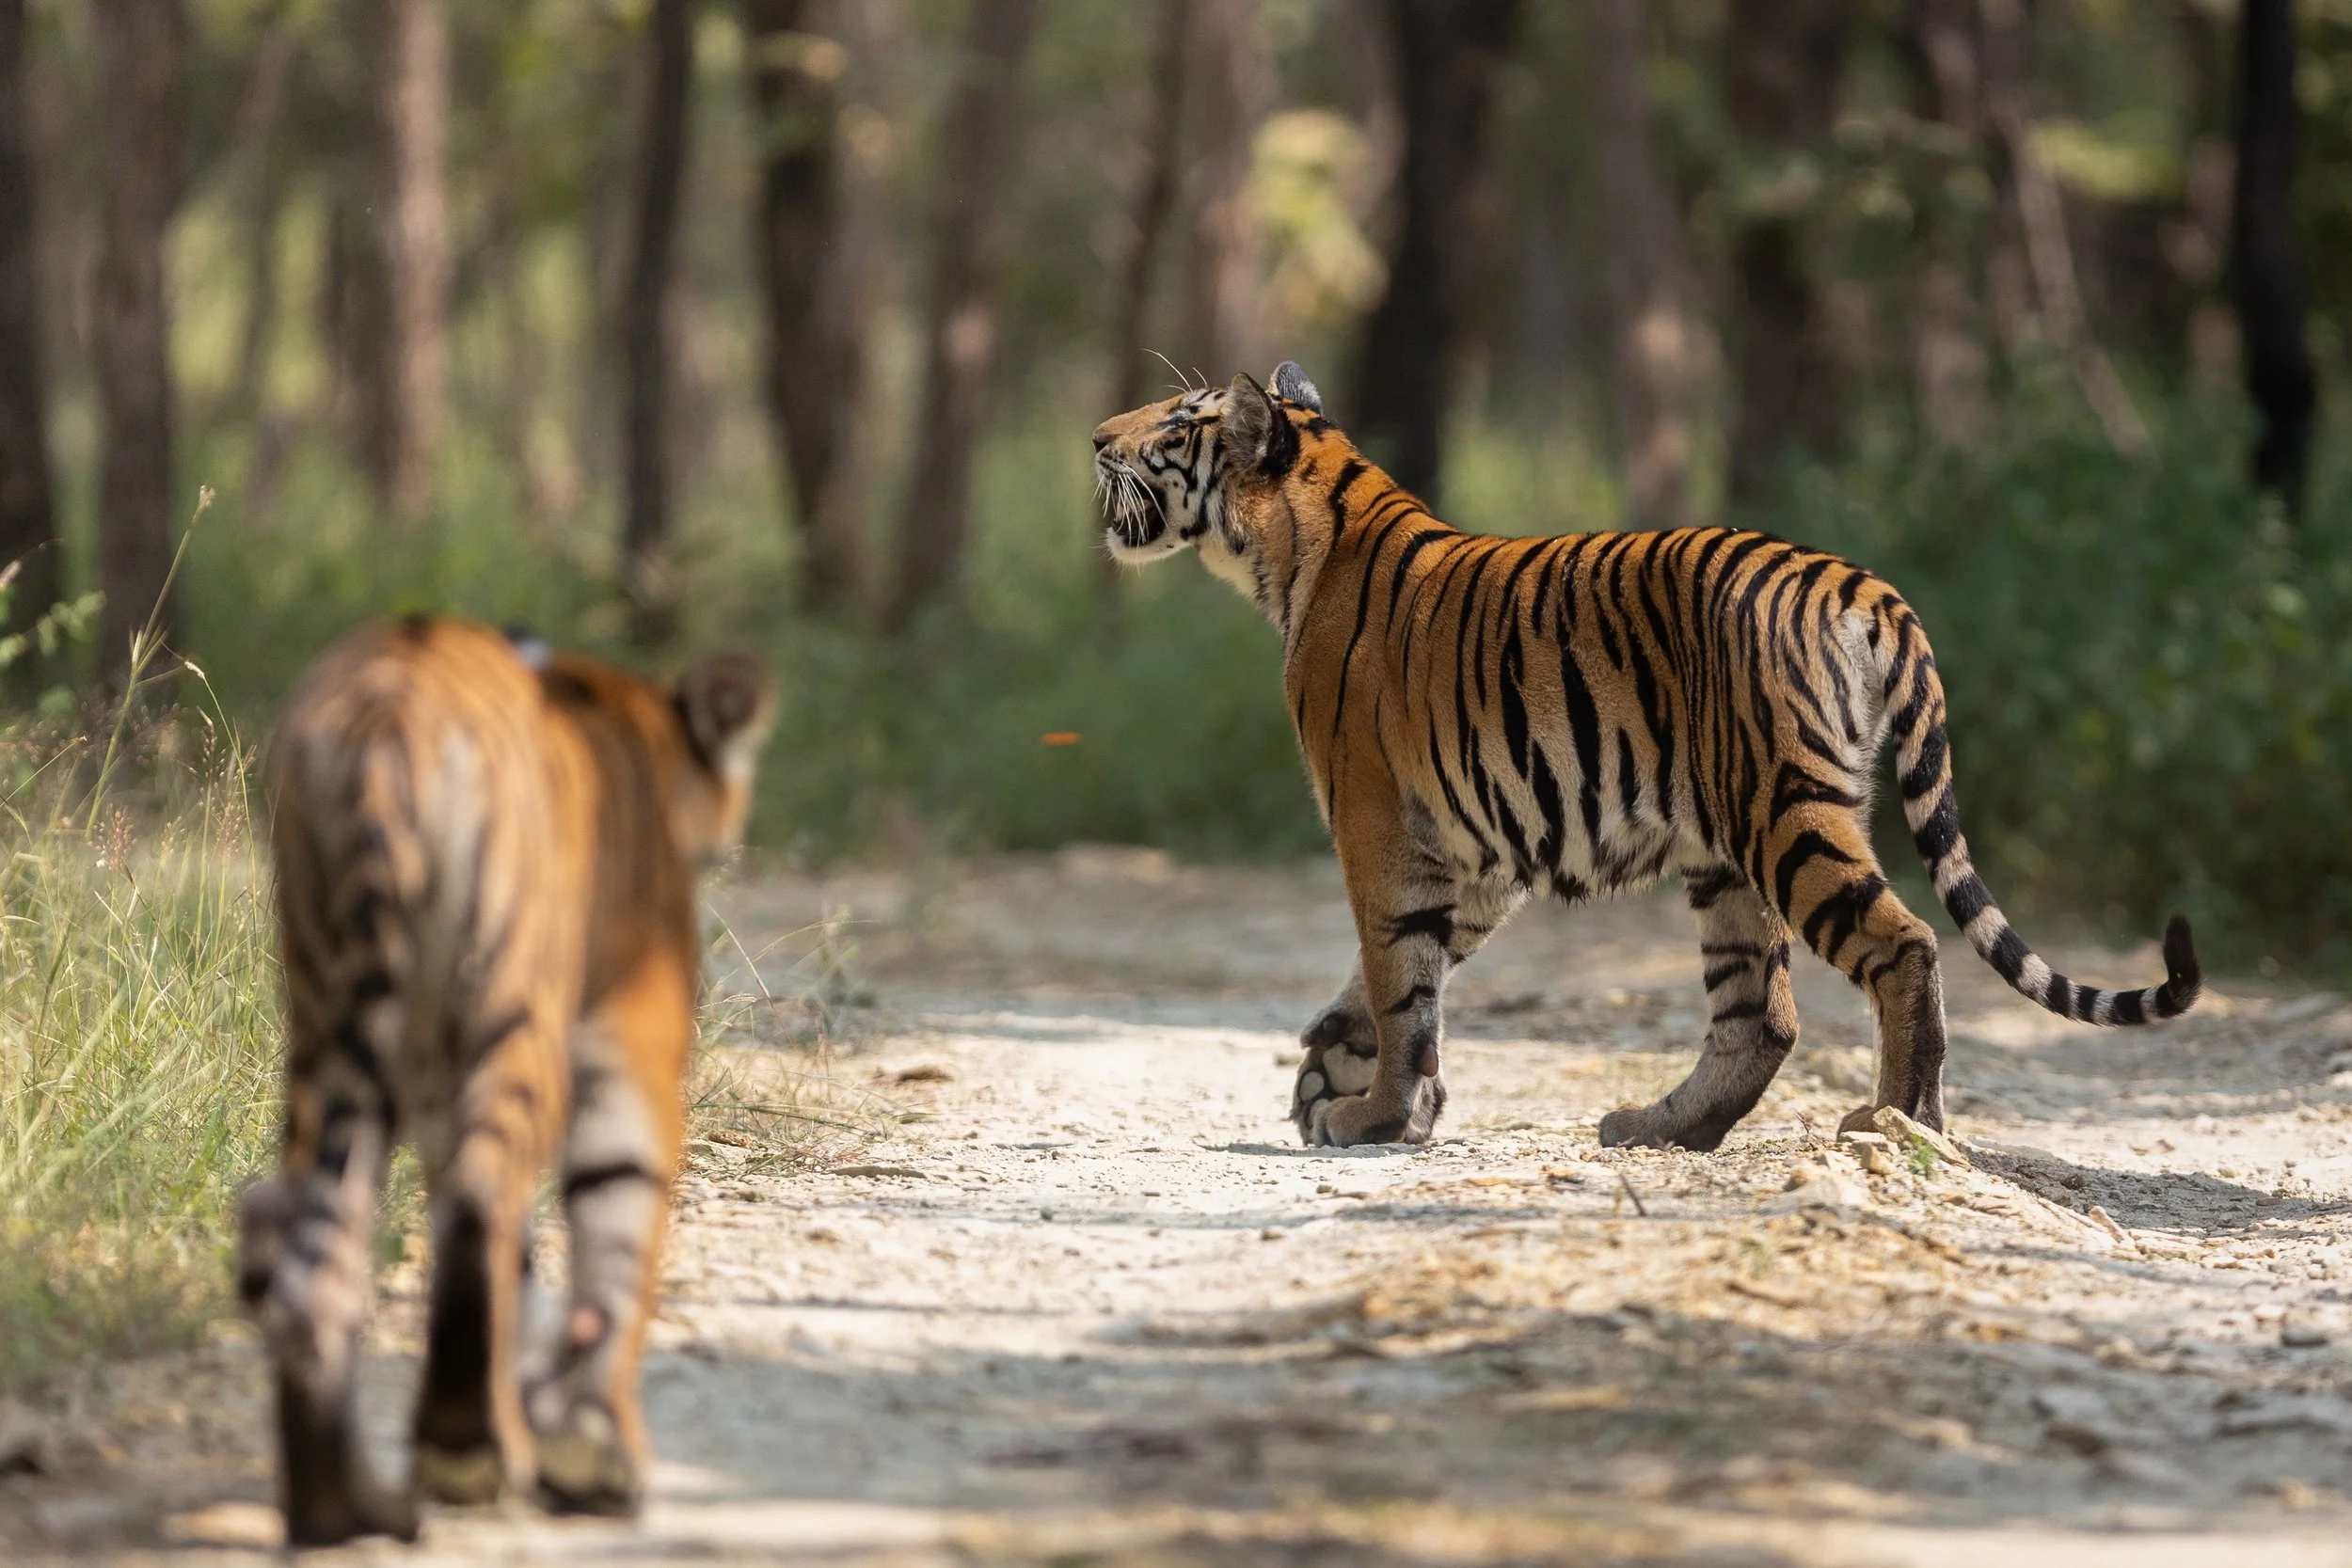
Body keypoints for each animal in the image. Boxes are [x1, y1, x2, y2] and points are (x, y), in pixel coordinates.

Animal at [235, 617, 773, 1544]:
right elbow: (618, 1232)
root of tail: (386, 705)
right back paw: (465, 1452)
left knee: (318, 1255)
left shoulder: (428, 1077)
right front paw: (595, 1448)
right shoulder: (631, 1038)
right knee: (481, 1204)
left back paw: (343, 1506)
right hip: (514, 1007)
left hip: (326, 1021)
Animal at [1091, 362, 2200, 1150]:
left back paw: (1896, 1122)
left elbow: (1399, 974)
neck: (1293, 551)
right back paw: (1660, 1128)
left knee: (1902, 945)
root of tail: (1863, 584)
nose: (1097, 437)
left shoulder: (1381, 828)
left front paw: (1376, 1113)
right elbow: (1400, 974)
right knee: (1759, 1015)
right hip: (1730, 850)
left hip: (1782, 812)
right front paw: (1338, 1063)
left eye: (1176, 421)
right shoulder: (1474, 856)